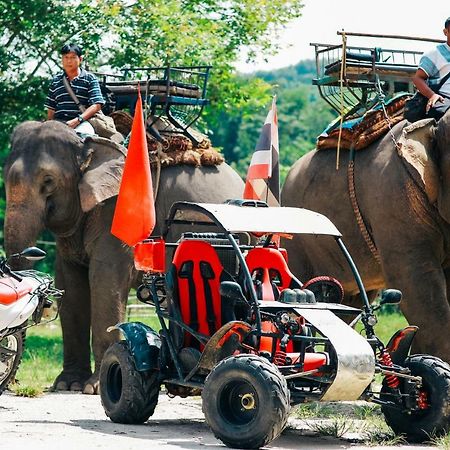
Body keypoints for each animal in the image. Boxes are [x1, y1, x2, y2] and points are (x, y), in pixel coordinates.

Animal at [3, 121, 244, 392]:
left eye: (48, 180)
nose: (14, 382)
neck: (87, 144)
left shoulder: (118, 211)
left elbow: (104, 280)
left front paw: (95, 387)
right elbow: (70, 284)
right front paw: (68, 385)